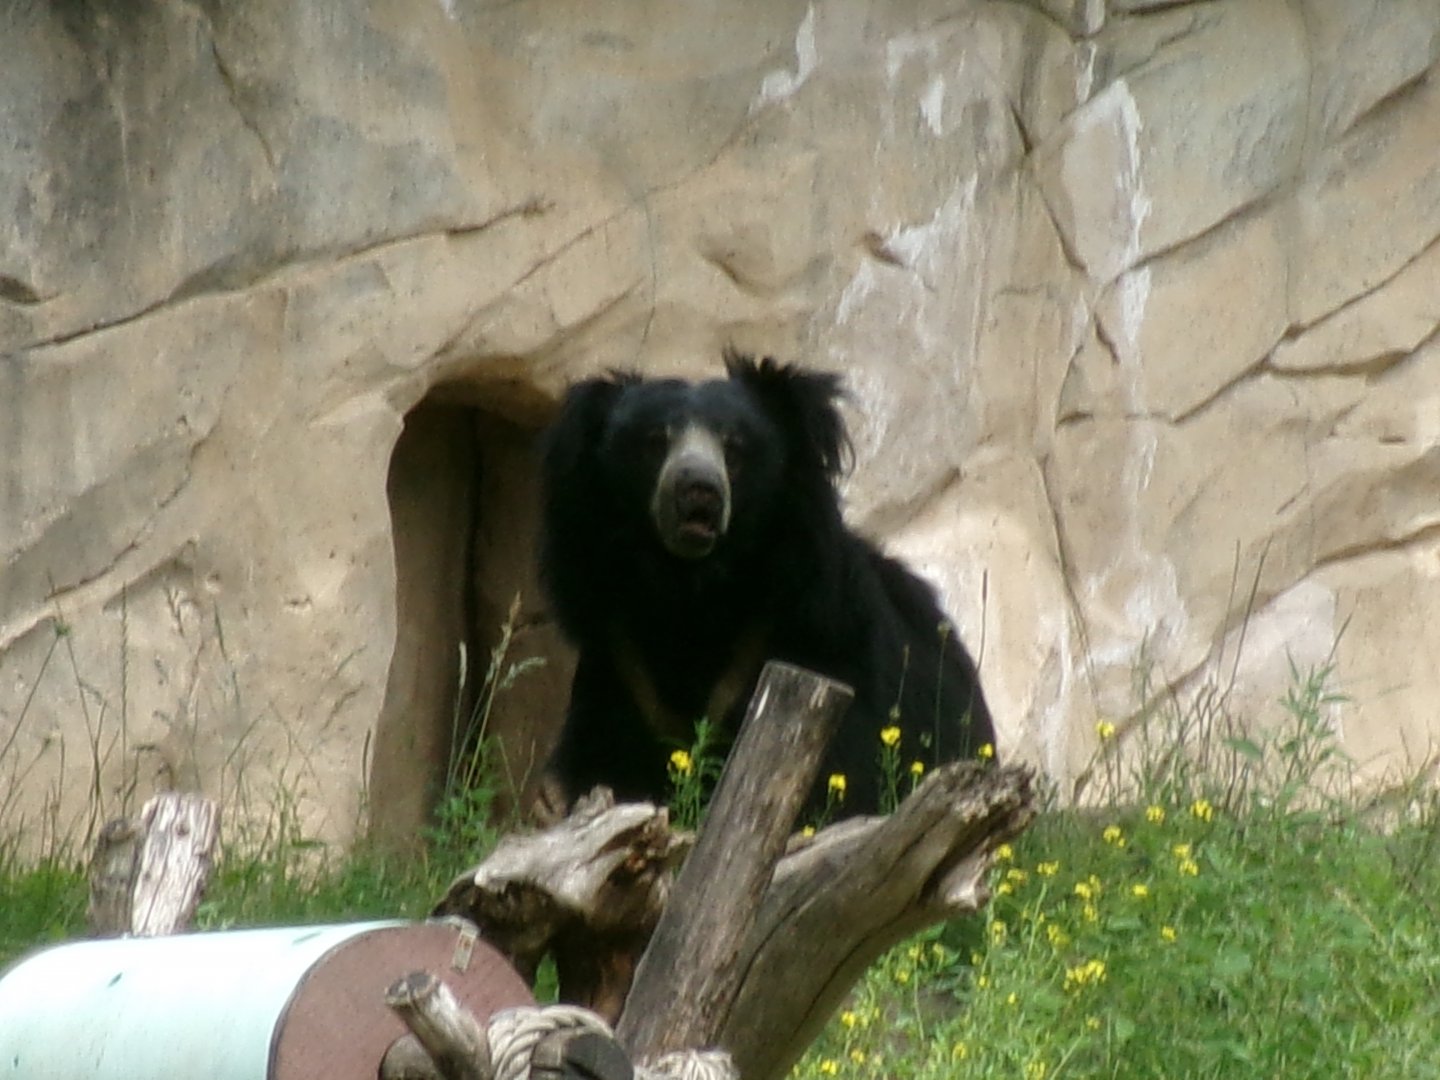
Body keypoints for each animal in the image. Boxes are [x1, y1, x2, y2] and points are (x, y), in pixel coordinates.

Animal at [535, 350, 994, 822]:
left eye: (734, 448)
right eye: (655, 442)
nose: (698, 489)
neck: (693, 587)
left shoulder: (816, 643)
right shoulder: (623, 671)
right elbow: (607, 767)